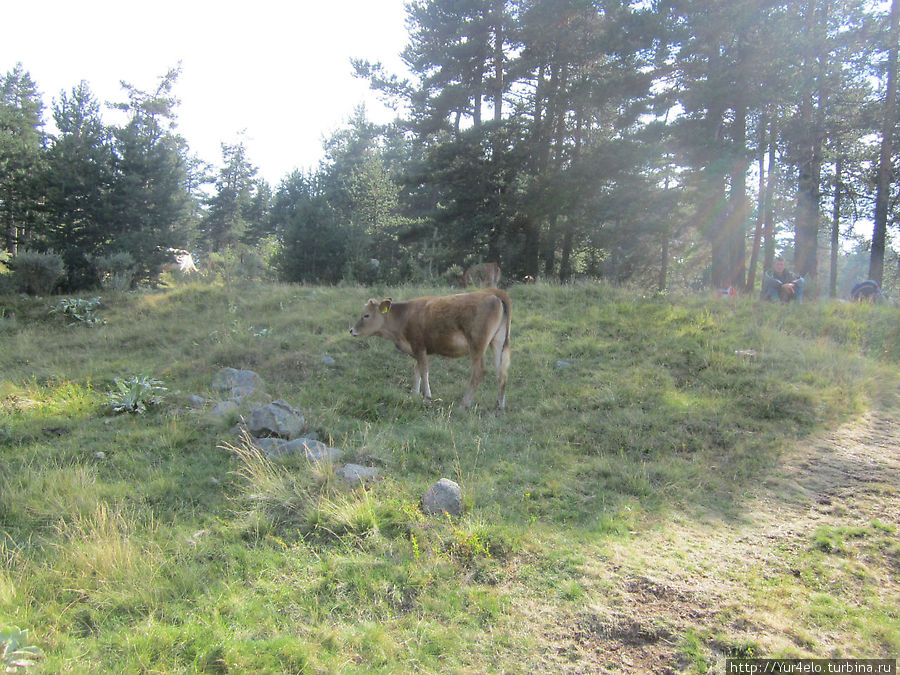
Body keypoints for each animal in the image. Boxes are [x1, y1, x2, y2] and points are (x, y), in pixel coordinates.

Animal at [348, 288, 510, 410]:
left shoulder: (419, 346)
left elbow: (424, 371)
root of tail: (494, 294)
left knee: (479, 372)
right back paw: (500, 404)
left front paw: (427, 397)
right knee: (501, 372)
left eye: (366, 315)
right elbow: (417, 370)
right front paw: (414, 394)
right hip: (497, 341)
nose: (351, 330)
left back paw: (464, 405)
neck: (404, 317)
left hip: (477, 344)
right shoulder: (418, 350)